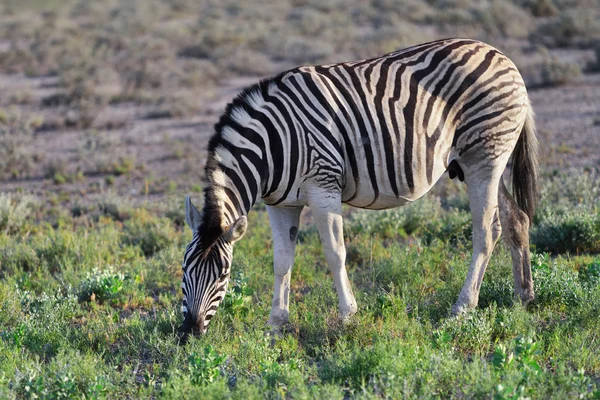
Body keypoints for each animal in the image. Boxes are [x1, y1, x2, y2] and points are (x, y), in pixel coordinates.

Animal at [178, 37, 540, 338]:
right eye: (183, 269)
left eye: (223, 275)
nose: (189, 332)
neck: (272, 147)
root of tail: (500, 54)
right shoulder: (280, 203)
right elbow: (281, 260)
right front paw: (275, 325)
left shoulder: (323, 187)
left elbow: (335, 253)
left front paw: (348, 316)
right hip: (480, 163)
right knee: (515, 220)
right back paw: (523, 297)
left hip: (484, 157)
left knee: (486, 231)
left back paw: (462, 308)